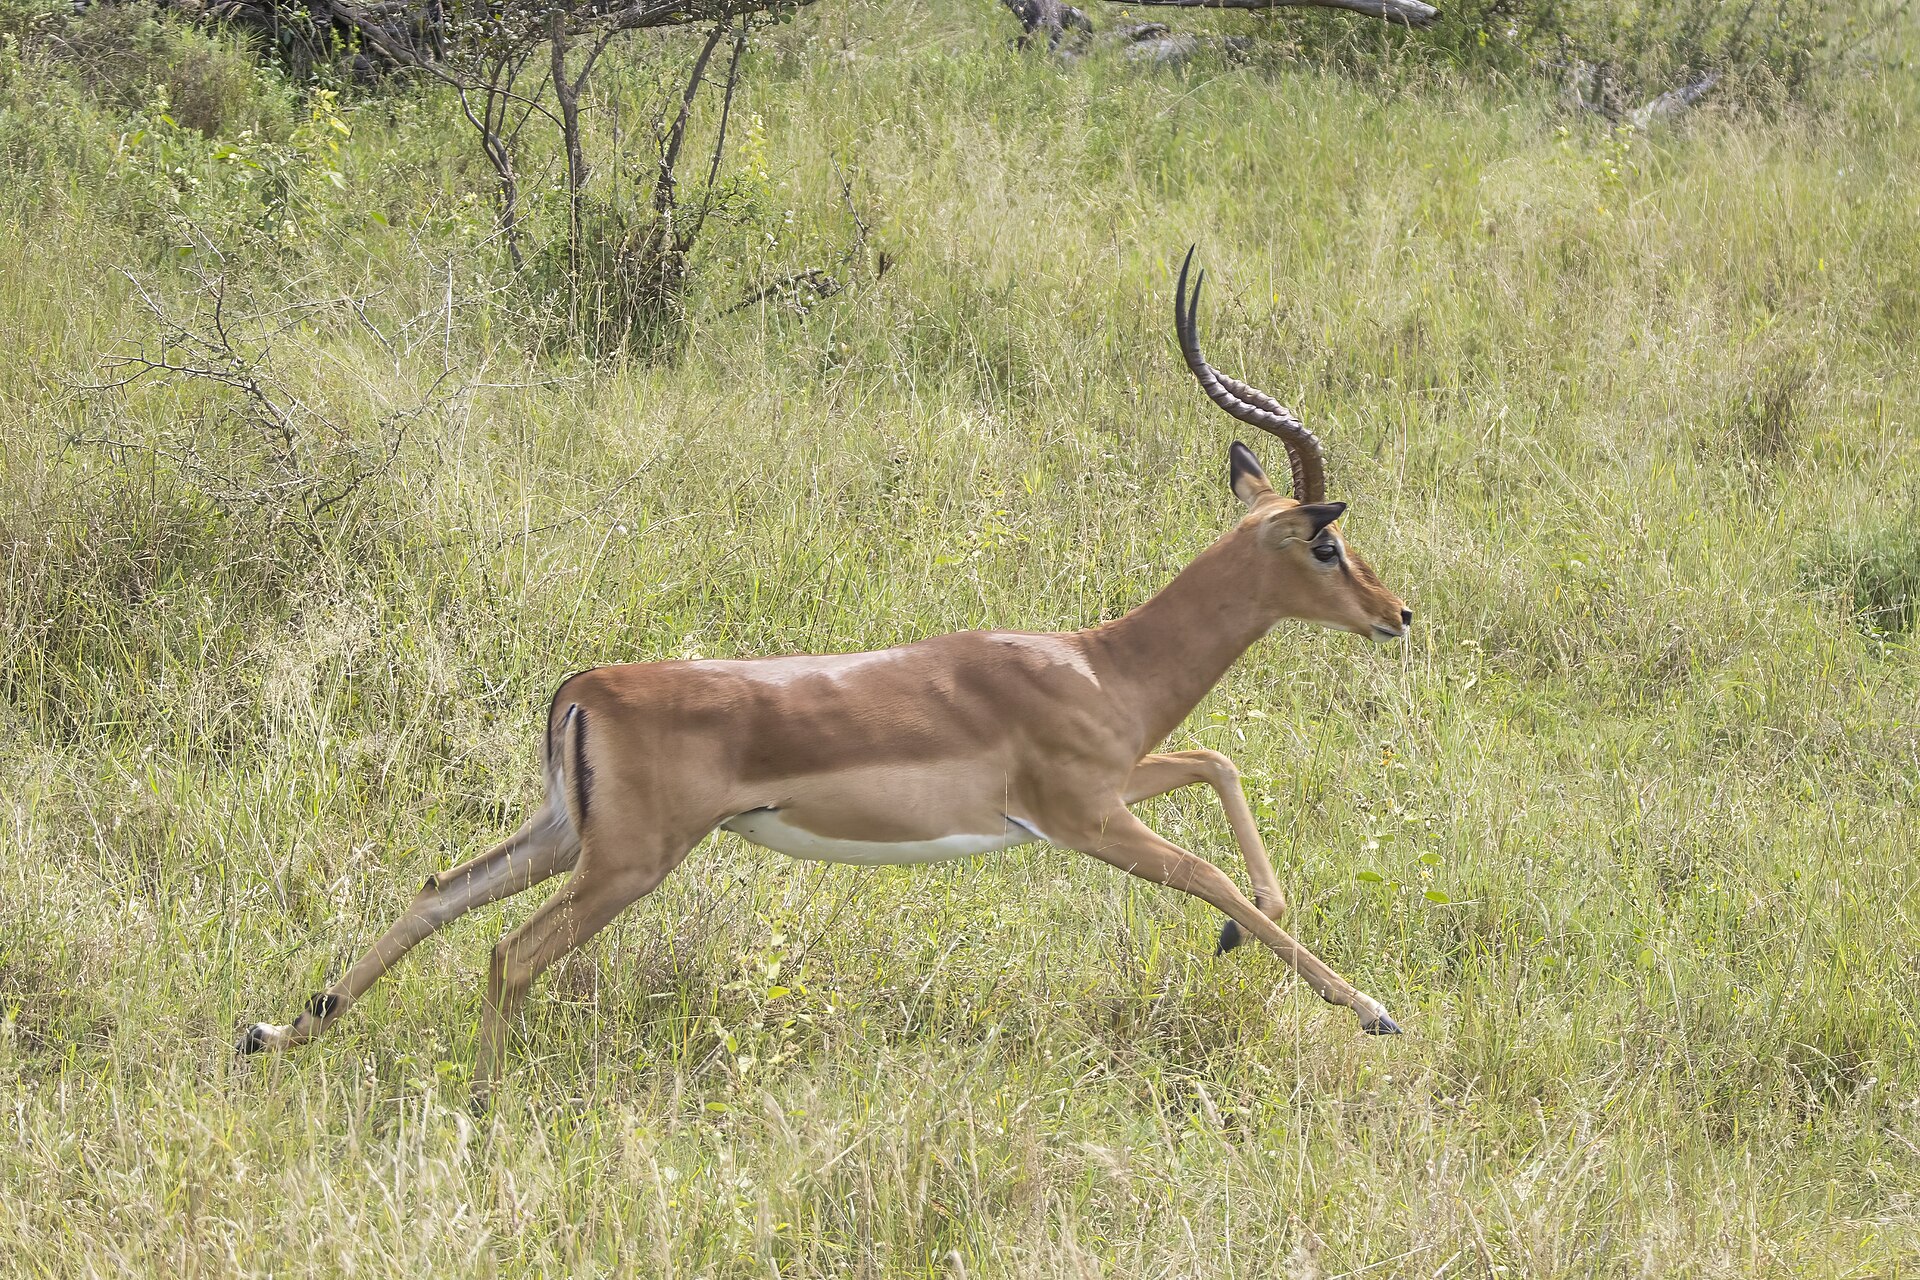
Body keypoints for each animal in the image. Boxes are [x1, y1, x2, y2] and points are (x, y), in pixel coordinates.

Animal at [238, 250, 1413, 1099]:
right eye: (1325, 542)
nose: (1398, 613)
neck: (1098, 663)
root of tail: (585, 686)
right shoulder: (1087, 815)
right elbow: (1210, 863)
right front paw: (1369, 1006)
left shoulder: (1119, 779)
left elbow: (1219, 763)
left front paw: (1245, 927)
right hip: (628, 864)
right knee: (510, 953)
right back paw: (482, 1101)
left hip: (563, 836)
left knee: (438, 893)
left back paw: (274, 1030)